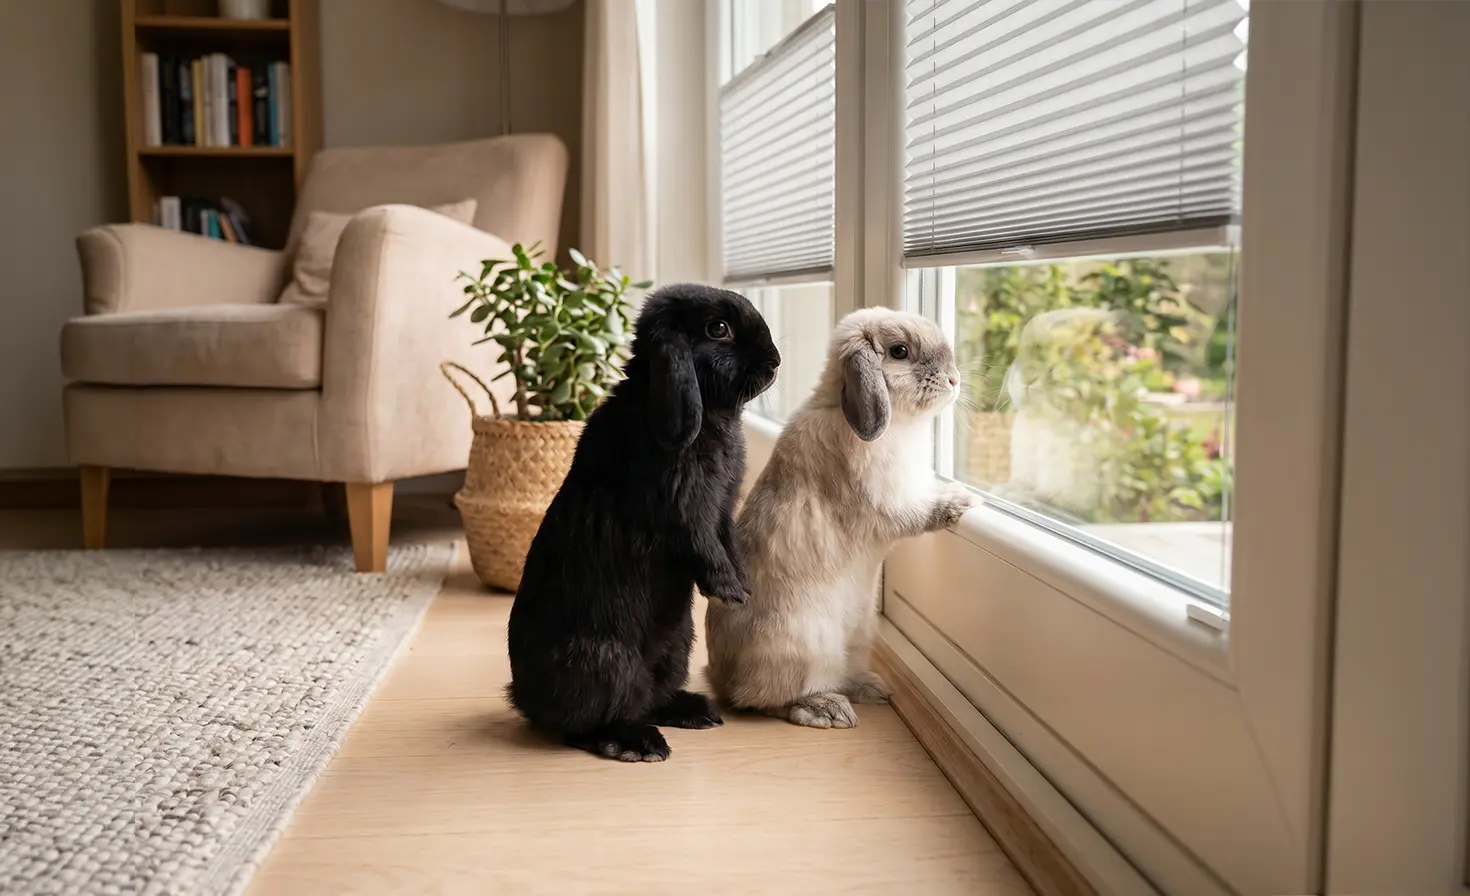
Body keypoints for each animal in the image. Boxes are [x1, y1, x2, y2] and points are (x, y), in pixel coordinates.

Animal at [506, 283, 781, 762]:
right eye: (718, 329)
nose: (776, 360)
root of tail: (523, 698)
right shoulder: (681, 508)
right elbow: (702, 544)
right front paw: (729, 591)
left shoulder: (723, 507)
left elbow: (727, 541)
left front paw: (743, 585)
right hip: (607, 663)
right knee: (589, 724)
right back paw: (638, 744)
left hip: (678, 647)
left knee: (650, 697)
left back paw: (695, 711)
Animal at [704, 307, 973, 729]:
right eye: (900, 351)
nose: (954, 379)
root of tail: (720, 678)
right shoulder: (890, 502)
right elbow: (919, 512)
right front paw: (958, 502)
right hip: (806, 648)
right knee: (763, 701)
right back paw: (827, 709)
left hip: (859, 637)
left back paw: (871, 688)